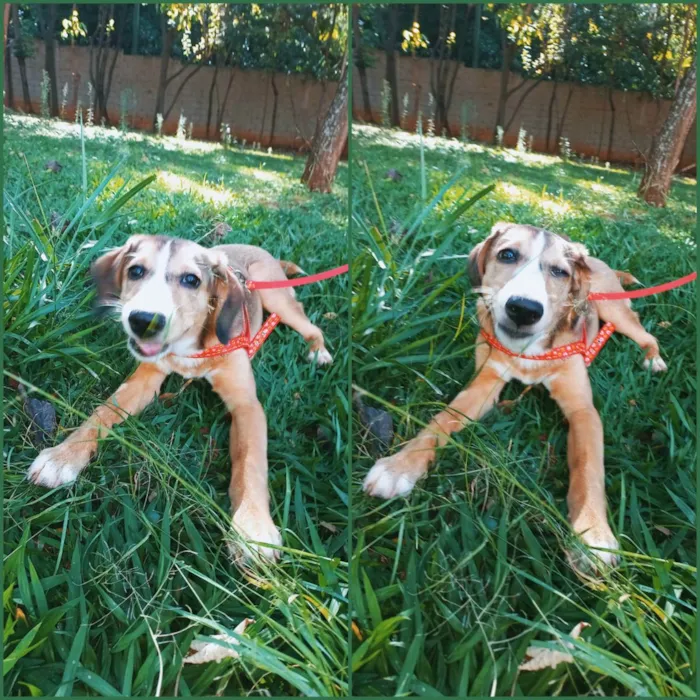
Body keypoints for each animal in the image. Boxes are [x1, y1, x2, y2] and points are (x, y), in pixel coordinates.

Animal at [27, 235, 334, 564]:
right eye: (136, 271)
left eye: (191, 280)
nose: (143, 321)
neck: (189, 345)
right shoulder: (144, 381)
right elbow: (102, 412)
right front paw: (63, 456)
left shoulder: (247, 405)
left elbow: (250, 460)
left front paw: (252, 527)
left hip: (276, 297)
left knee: (310, 324)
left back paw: (318, 350)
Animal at [364, 223, 664, 568]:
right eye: (507, 254)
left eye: (560, 272)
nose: (523, 309)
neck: (528, 352)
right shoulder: (484, 386)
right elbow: (441, 421)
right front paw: (398, 467)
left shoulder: (583, 410)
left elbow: (588, 468)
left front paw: (592, 535)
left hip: (611, 307)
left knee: (645, 334)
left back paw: (653, 358)